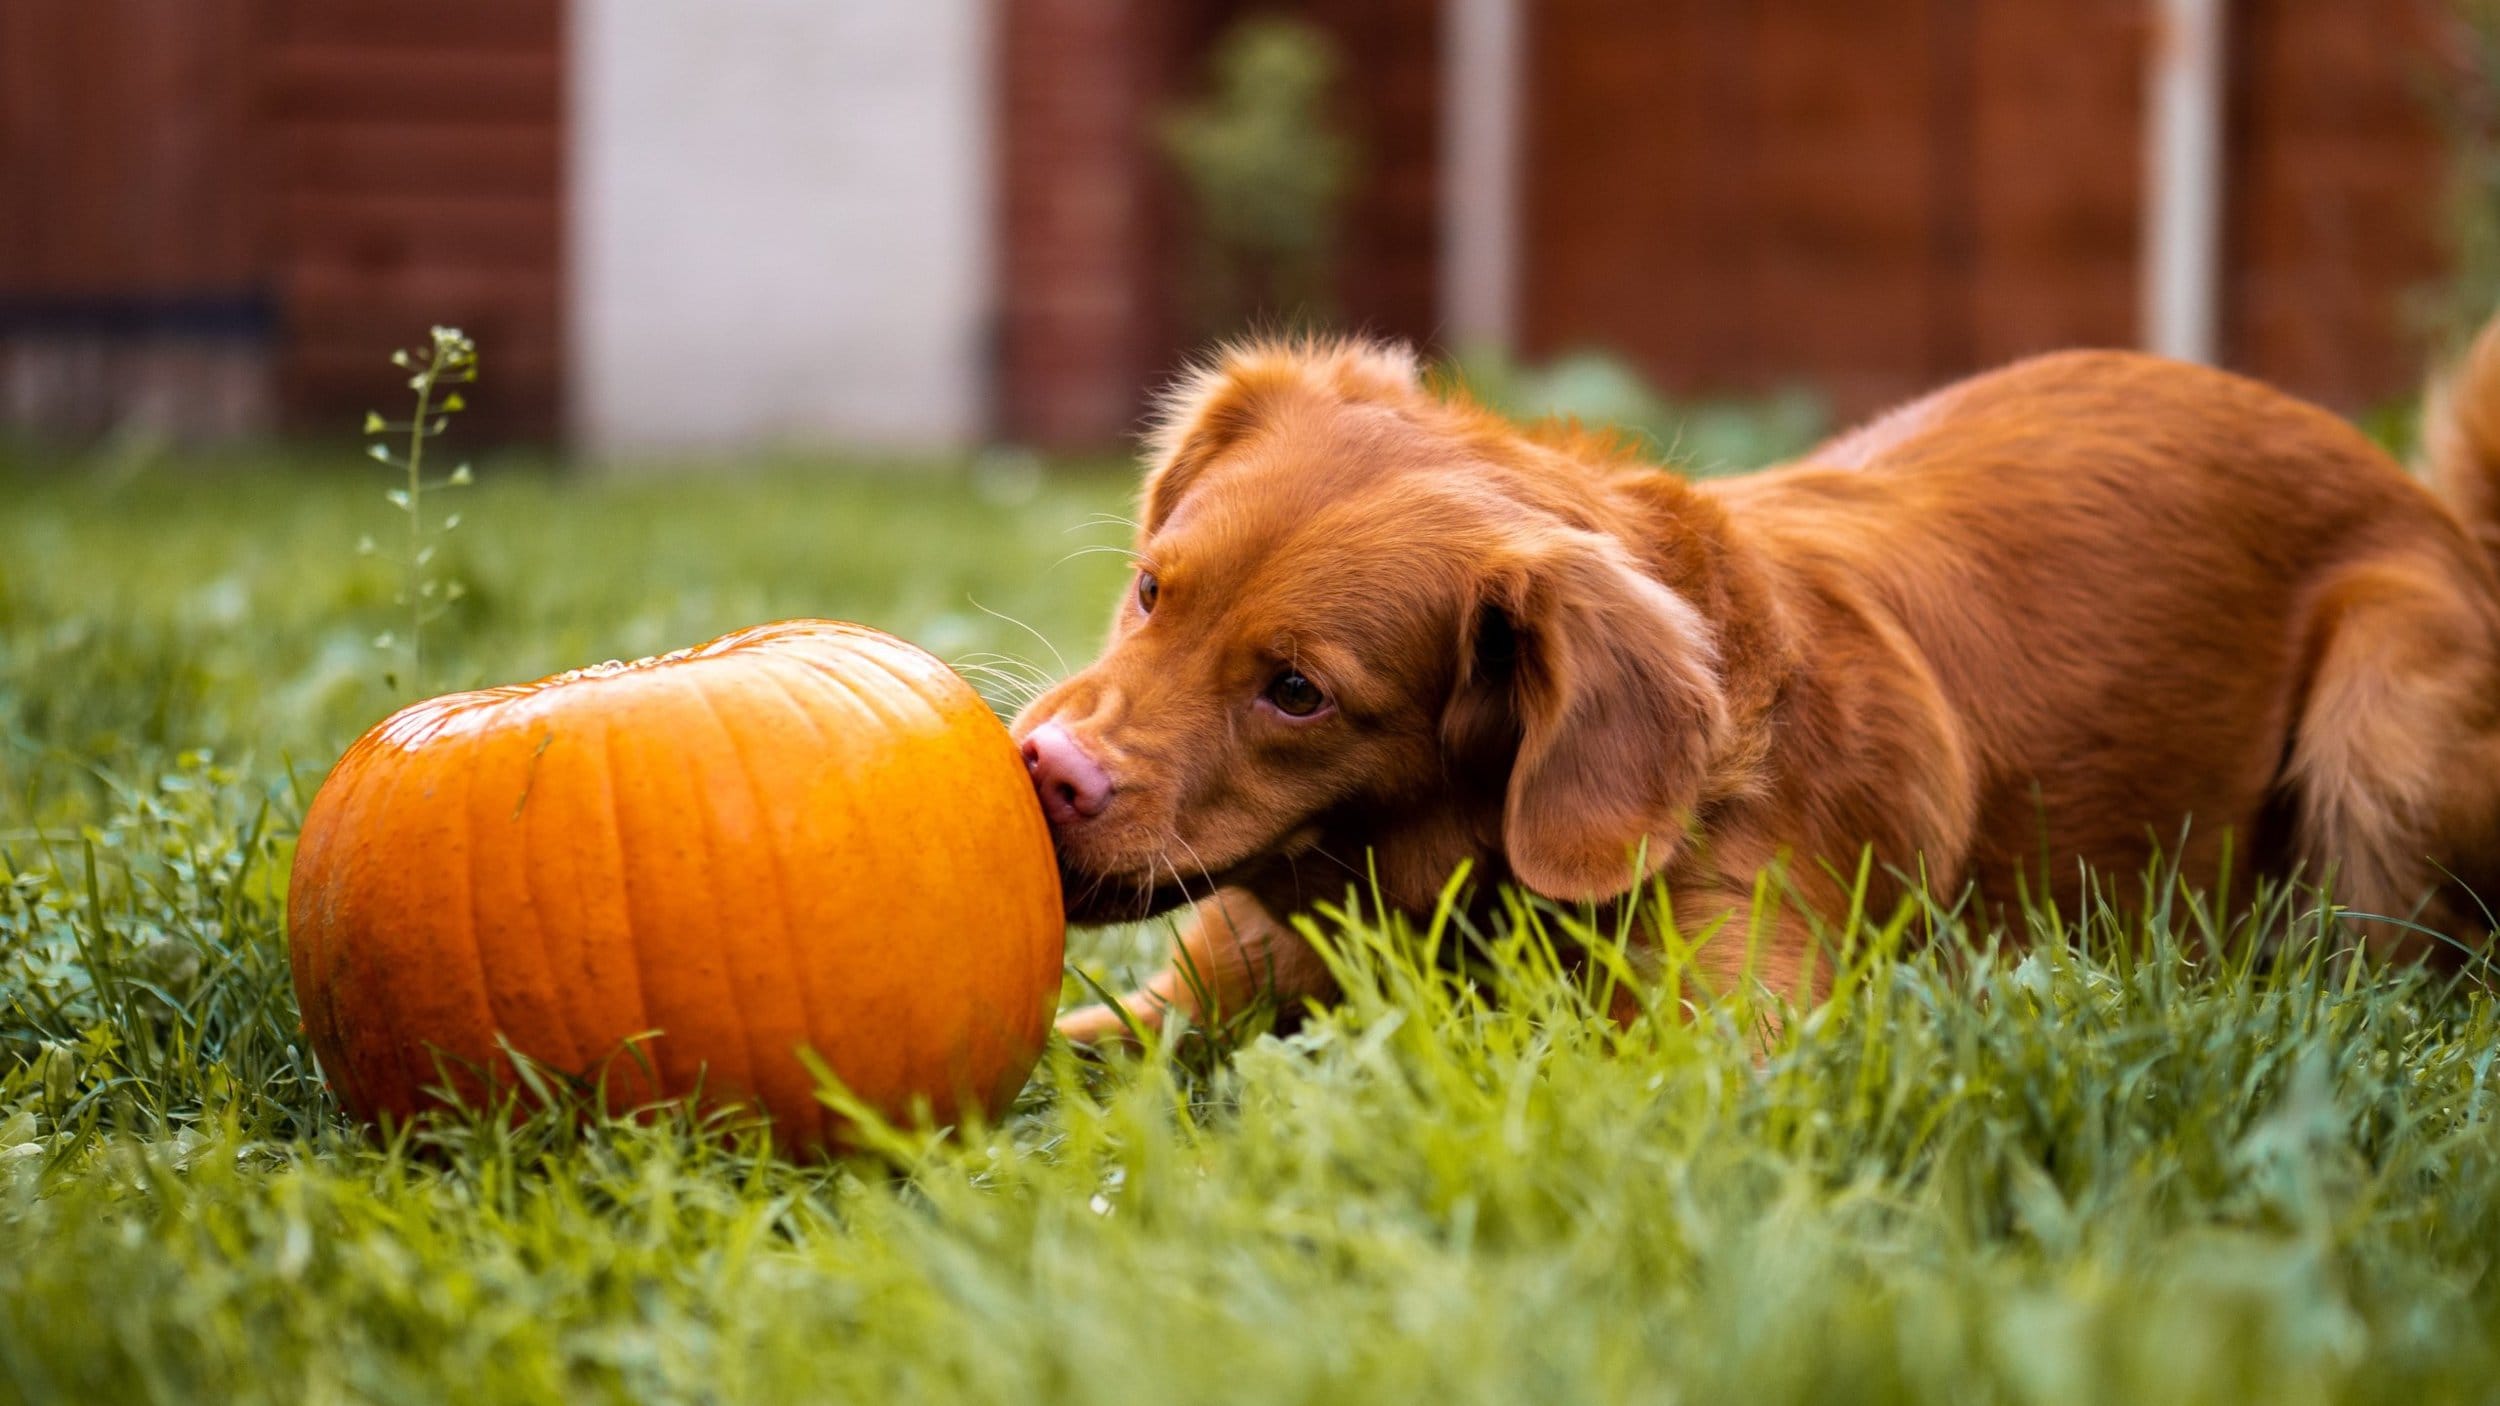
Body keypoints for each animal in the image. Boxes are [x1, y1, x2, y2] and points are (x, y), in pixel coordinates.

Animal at [1005, 322, 2500, 1035]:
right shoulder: (1184, 999)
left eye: (1297, 692)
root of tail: (2430, 508)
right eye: (1153, 590)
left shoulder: (1729, 1046)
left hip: (2384, 712)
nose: (1048, 772)